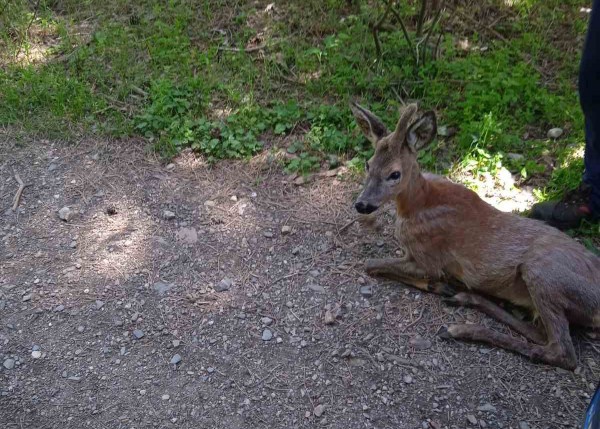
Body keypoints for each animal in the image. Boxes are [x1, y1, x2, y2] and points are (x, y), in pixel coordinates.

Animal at [350, 102, 600, 370]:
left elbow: (371, 264)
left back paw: (460, 329)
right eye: (368, 164)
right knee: (542, 334)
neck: (416, 205)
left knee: (562, 352)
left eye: (394, 174)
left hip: (543, 274)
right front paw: (443, 288)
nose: (362, 204)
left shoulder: (429, 258)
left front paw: (437, 285)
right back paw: (465, 298)